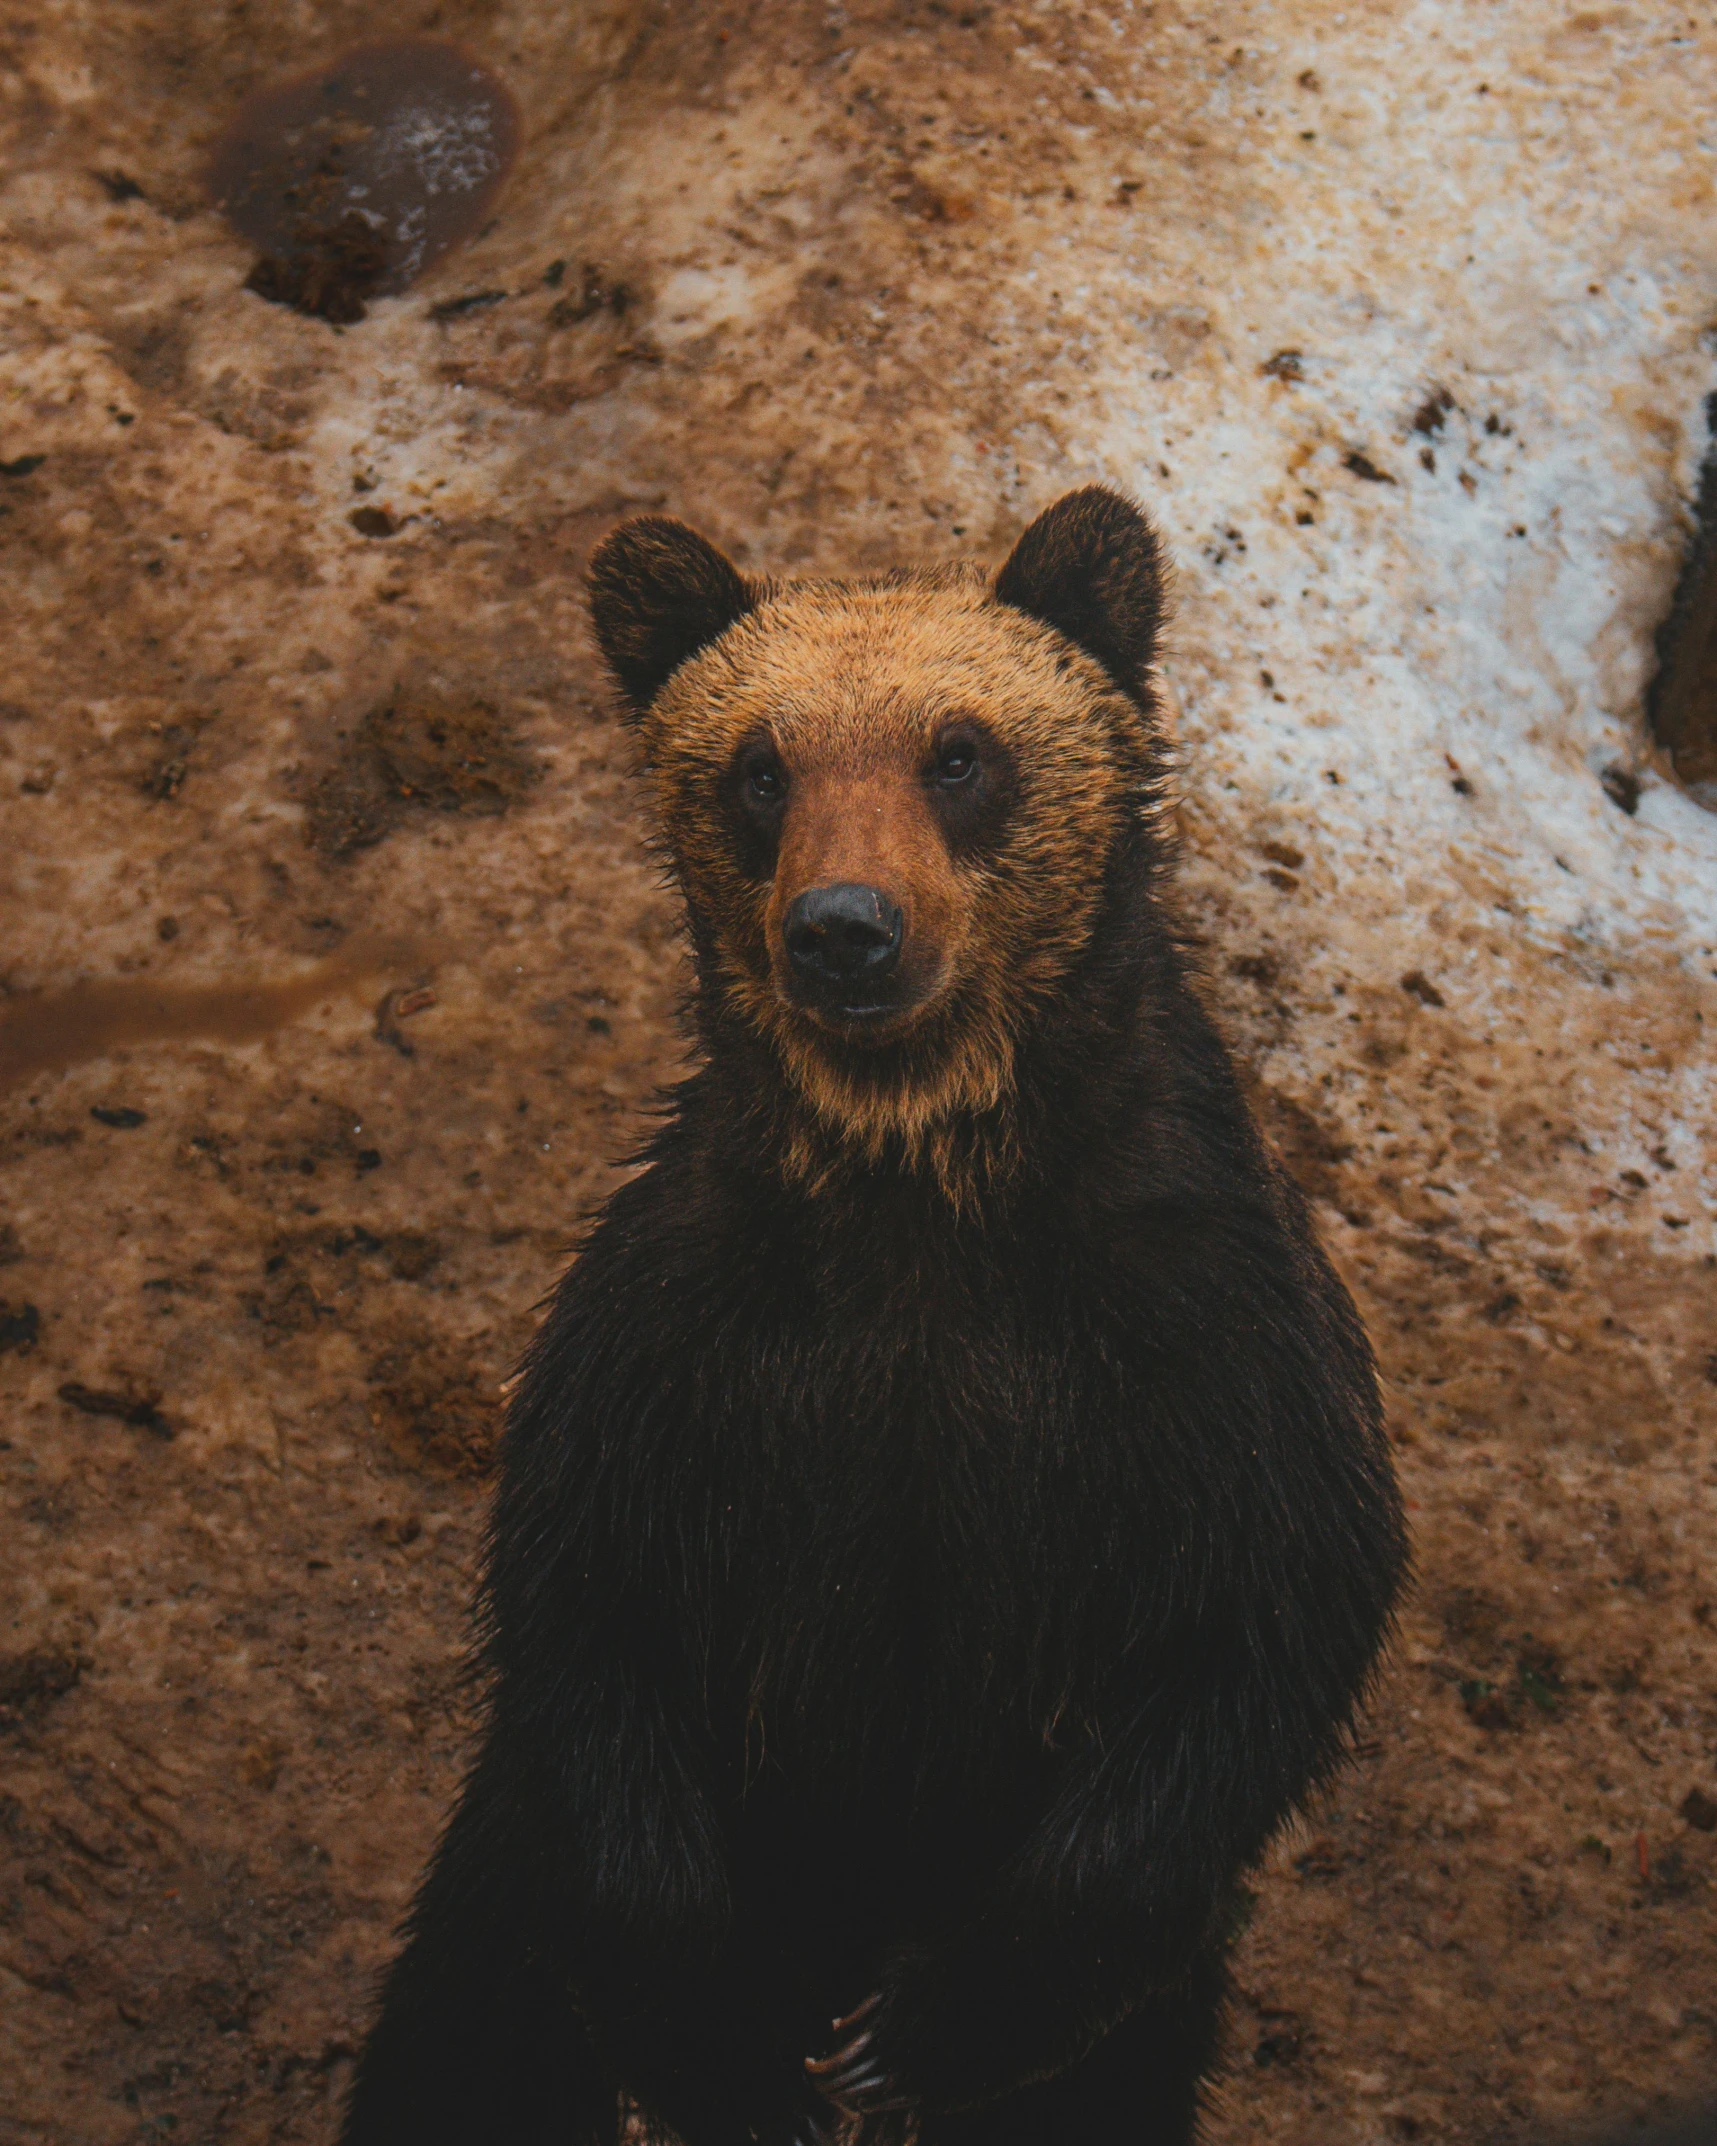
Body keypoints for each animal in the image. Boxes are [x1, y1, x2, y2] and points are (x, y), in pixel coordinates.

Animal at [339, 491, 1407, 2146]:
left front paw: (914, 2030)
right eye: (757, 765)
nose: (845, 927)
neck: (920, 1196)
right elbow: (592, 1626)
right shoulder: (680, 1353)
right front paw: (738, 2055)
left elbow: (1268, 1617)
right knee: (465, 2036)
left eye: (959, 751)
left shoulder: (1201, 1342)